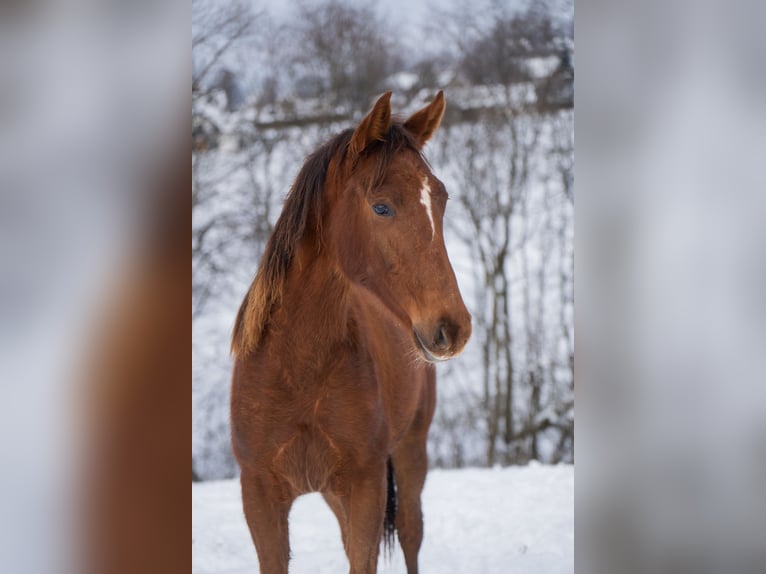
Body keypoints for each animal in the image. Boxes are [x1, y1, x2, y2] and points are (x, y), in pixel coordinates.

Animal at [230, 91, 471, 574]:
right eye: (381, 206)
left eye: (441, 199)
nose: (453, 327)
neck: (298, 366)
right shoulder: (260, 496)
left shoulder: (366, 488)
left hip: (410, 453)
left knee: (412, 534)